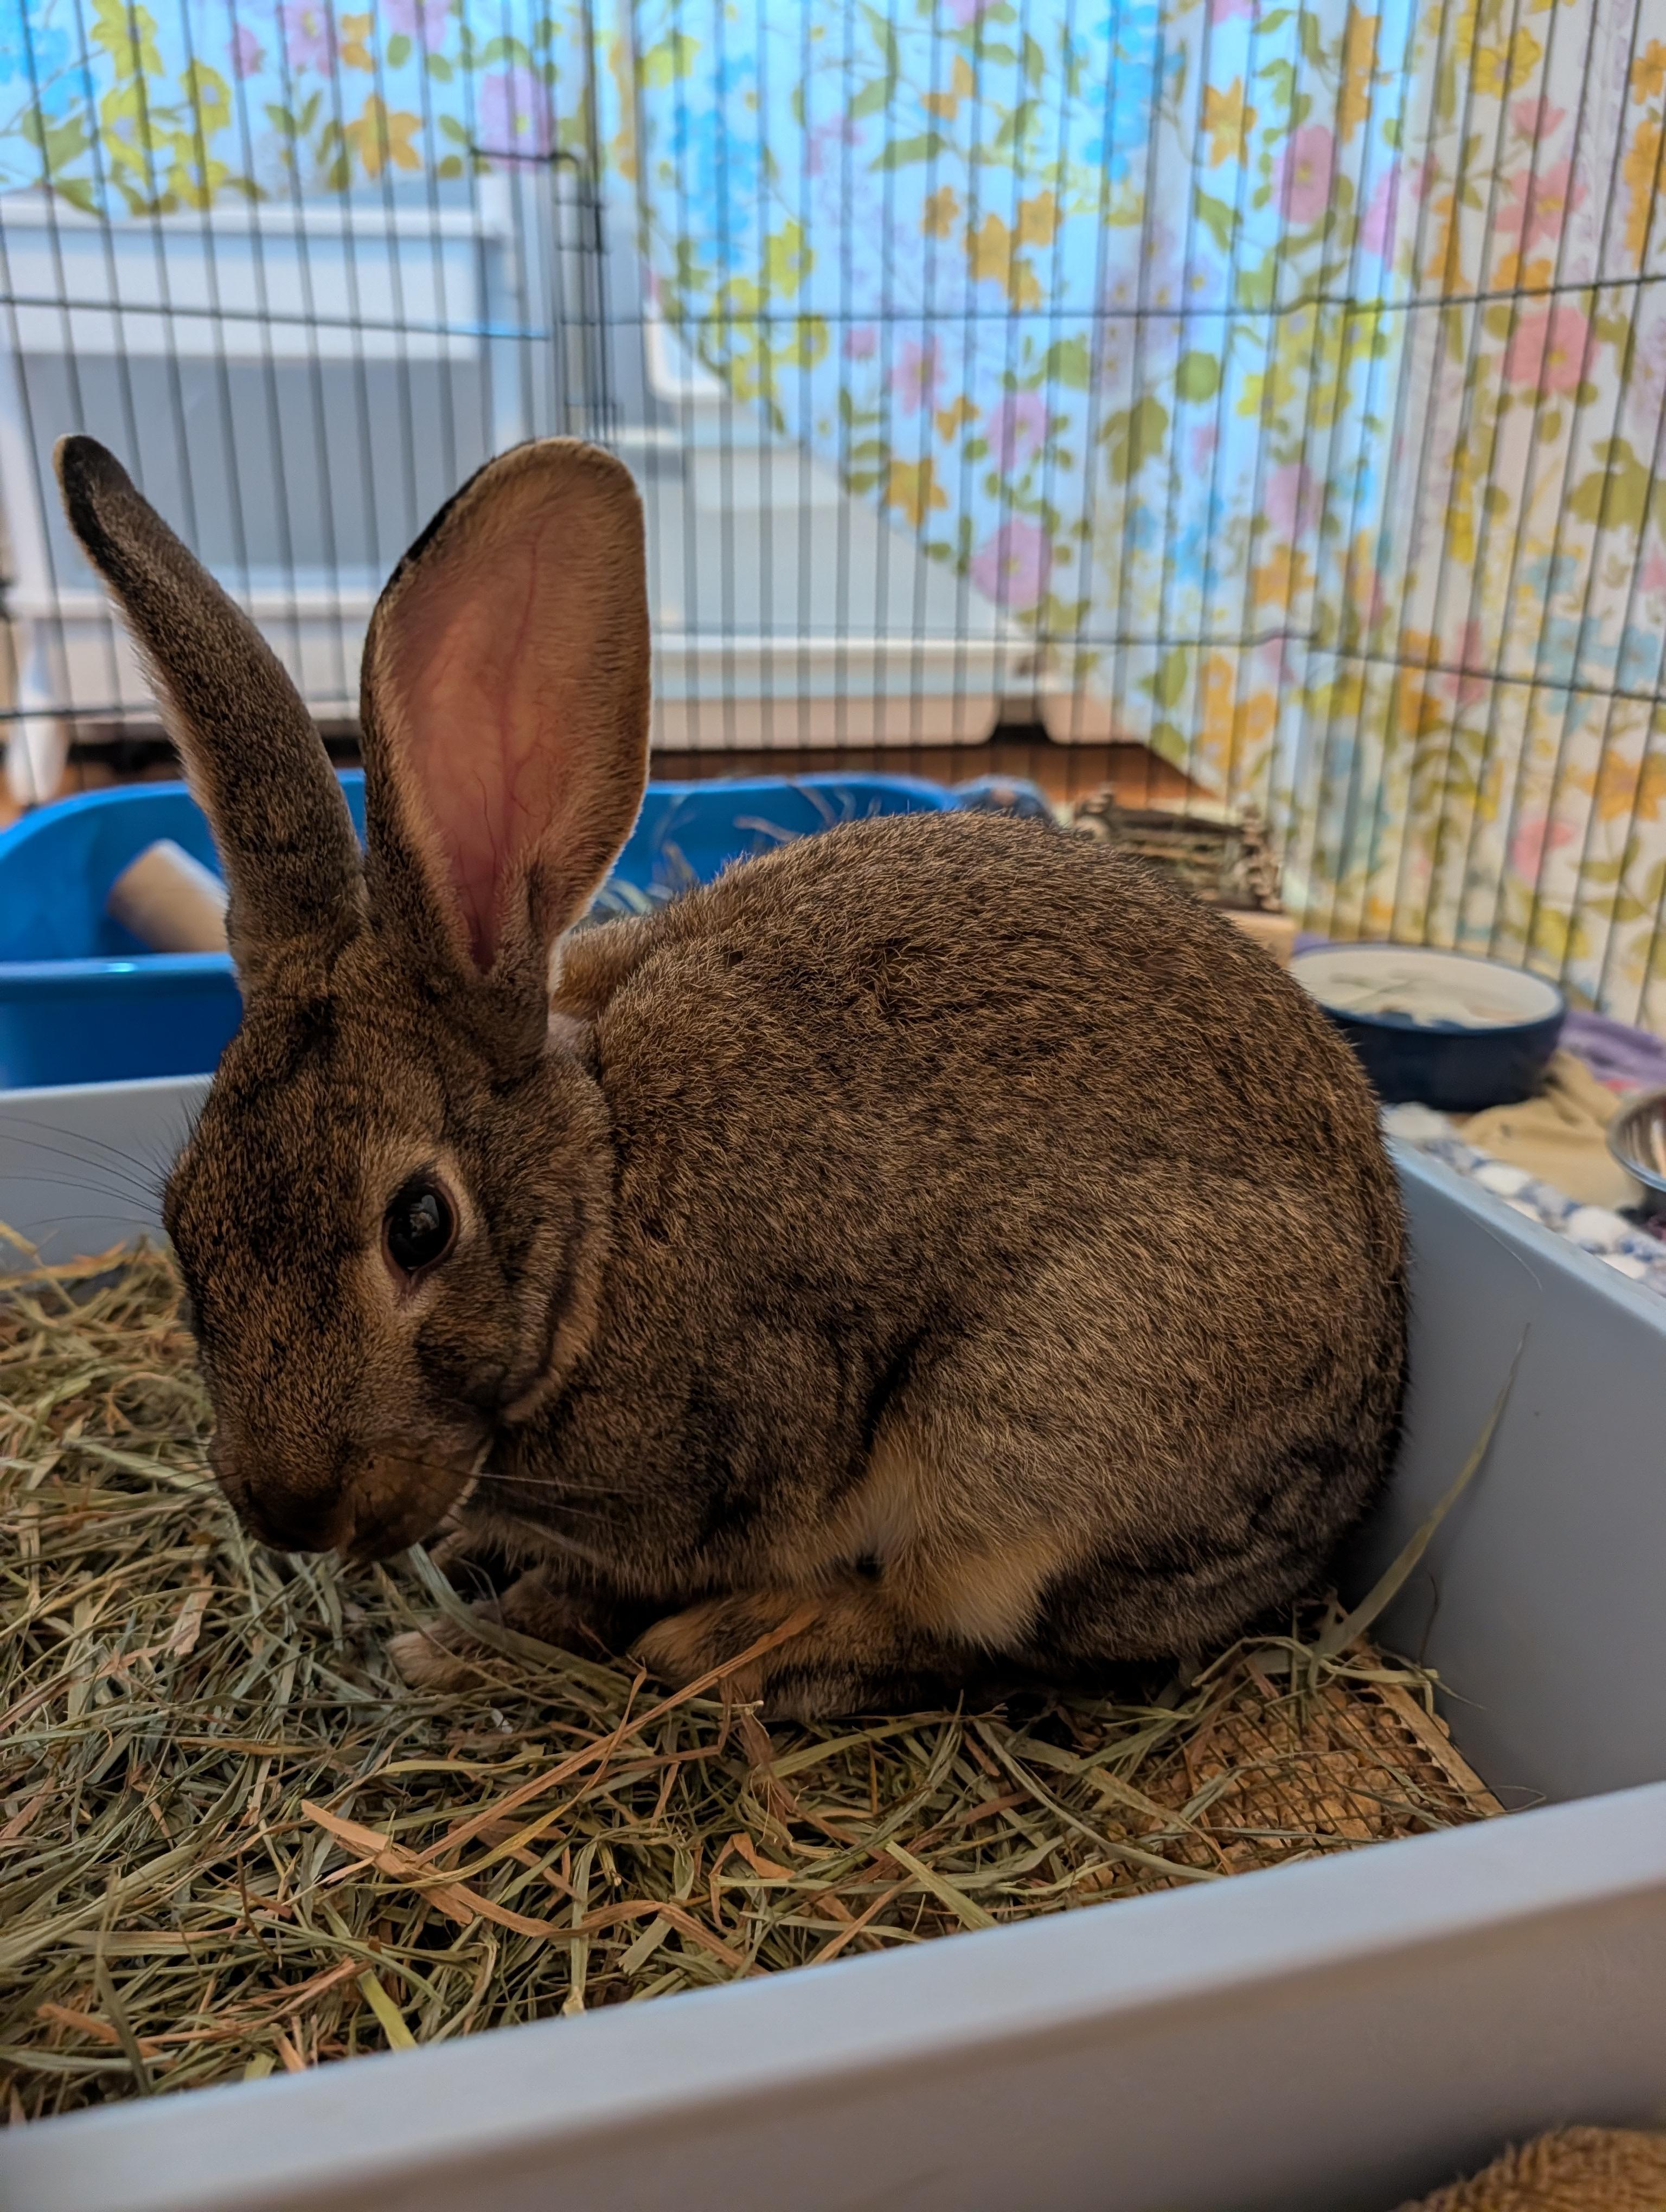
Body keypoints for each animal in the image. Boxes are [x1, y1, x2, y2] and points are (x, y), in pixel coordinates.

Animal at [56, 432, 1407, 1723]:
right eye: (184, 1222)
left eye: (421, 1227)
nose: (288, 1508)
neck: (599, 1213)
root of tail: (1370, 1437)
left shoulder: (709, 1484)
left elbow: (590, 1593)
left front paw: (457, 1646)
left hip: (1032, 1448)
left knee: (986, 1636)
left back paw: (742, 1648)